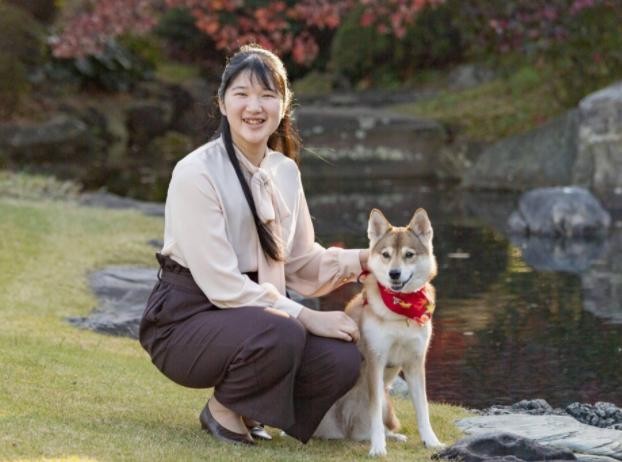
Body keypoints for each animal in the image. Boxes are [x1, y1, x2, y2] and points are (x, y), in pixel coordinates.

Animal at [313, 208, 444, 456]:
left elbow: (423, 408)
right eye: (386, 255)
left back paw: (394, 436)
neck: (400, 312)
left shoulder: (415, 361)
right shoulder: (376, 360)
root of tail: (345, 432)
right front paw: (377, 448)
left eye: (409, 255)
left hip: (386, 402)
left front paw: (431, 441)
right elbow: (373, 415)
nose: (394, 273)